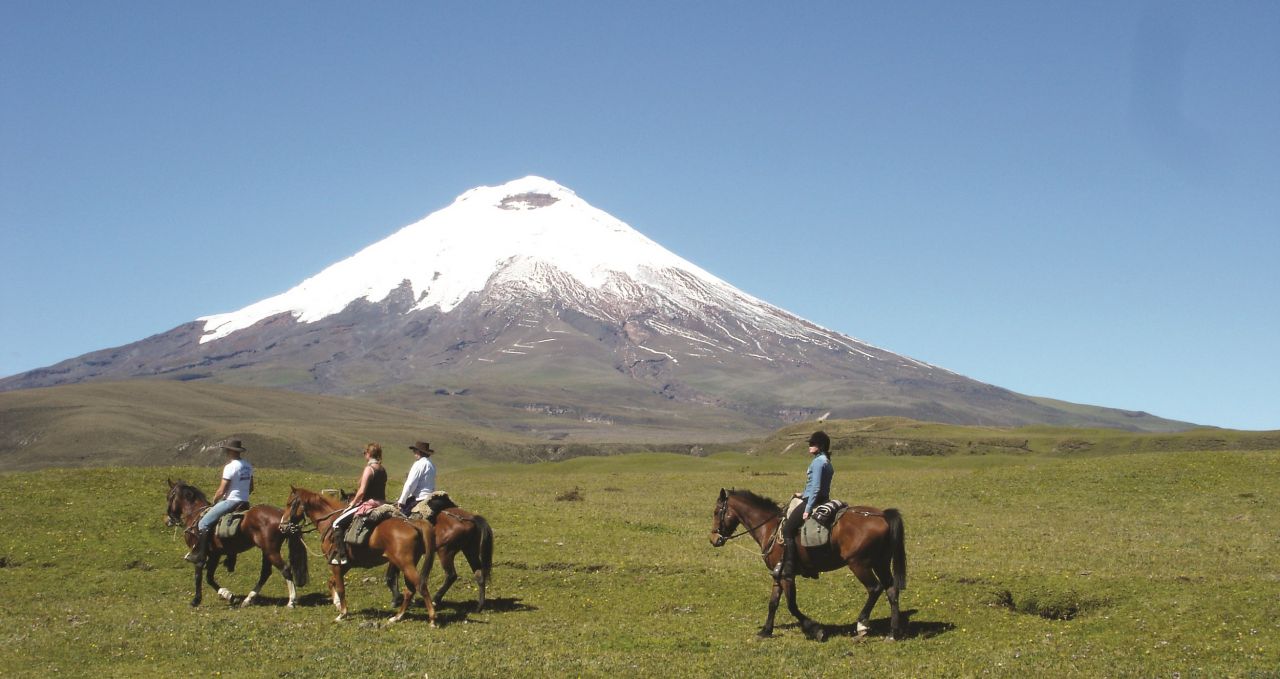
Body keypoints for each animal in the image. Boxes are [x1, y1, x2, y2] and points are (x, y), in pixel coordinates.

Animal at [163, 479, 308, 604]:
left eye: (169, 497)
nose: (168, 520)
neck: (195, 515)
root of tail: (283, 519)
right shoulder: (215, 554)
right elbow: (209, 578)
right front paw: (228, 595)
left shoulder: (199, 553)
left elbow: (199, 575)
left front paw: (196, 600)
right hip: (266, 551)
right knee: (265, 573)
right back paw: (248, 599)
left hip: (271, 550)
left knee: (285, 569)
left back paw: (291, 601)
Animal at [277, 486, 437, 622]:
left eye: (289, 503)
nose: (282, 526)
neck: (329, 523)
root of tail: (412, 523)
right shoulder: (343, 564)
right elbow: (331, 582)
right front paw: (337, 603)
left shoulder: (336, 565)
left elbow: (341, 588)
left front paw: (342, 613)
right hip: (407, 564)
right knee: (410, 590)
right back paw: (397, 617)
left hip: (405, 564)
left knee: (421, 585)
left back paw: (432, 618)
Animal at [711, 486, 911, 640]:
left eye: (716, 511)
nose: (713, 539)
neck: (770, 528)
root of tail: (882, 515)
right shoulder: (777, 574)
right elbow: (773, 603)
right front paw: (766, 631)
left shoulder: (787, 575)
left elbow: (792, 605)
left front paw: (816, 629)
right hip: (881, 563)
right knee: (891, 590)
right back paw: (892, 633)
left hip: (859, 564)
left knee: (874, 588)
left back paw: (862, 626)